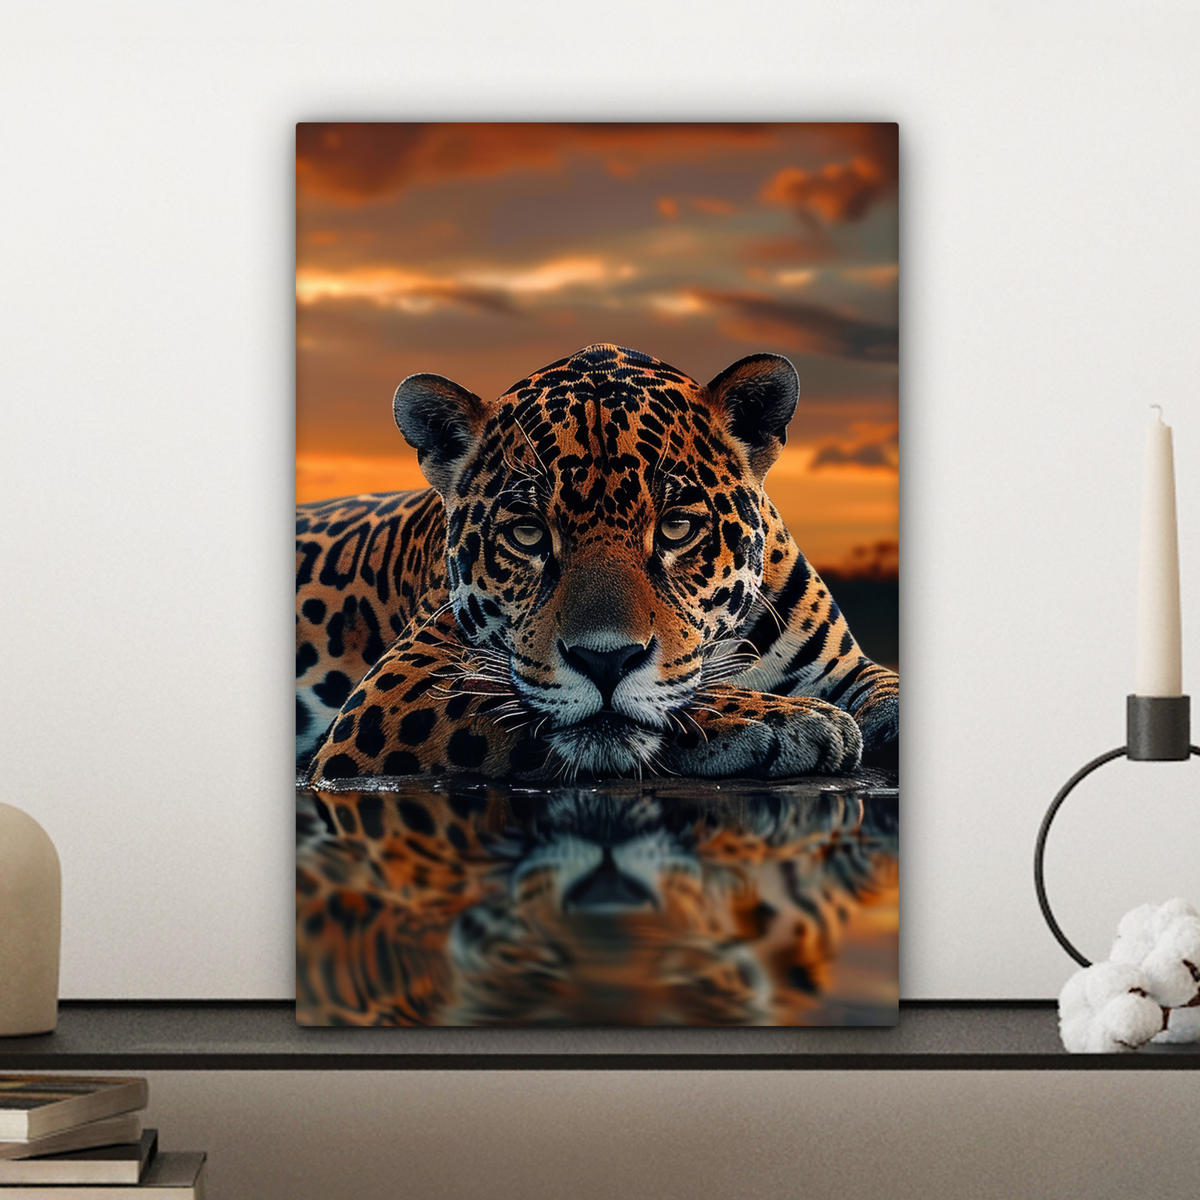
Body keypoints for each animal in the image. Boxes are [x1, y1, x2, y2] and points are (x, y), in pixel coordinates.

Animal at [296, 343, 898, 785]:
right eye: (528, 534)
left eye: (676, 527)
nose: (605, 662)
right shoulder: (398, 685)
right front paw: (783, 718)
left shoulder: (842, 666)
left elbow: (884, 684)